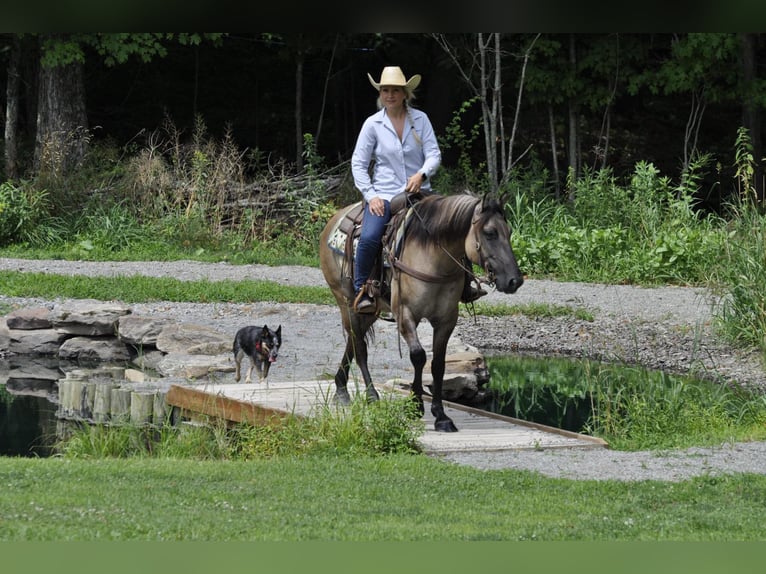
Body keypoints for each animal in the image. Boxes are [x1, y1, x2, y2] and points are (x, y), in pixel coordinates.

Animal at [316, 192, 524, 432]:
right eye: (490, 233)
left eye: (509, 232)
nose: (514, 281)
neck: (433, 259)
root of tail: (334, 219)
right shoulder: (405, 314)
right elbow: (418, 356)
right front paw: (415, 405)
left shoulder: (446, 320)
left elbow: (438, 364)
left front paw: (441, 416)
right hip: (346, 302)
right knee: (359, 348)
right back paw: (370, 395)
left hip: (370, 311)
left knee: (352, 341)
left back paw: (341, 388)